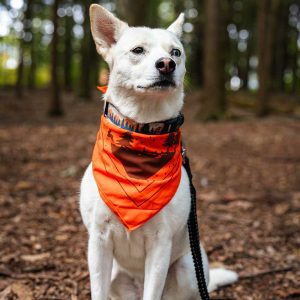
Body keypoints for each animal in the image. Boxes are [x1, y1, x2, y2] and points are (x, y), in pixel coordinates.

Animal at [80, 3, 239, 298]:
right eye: (137, 50)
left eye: (176, 52)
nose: (167, 64)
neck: (143, 130)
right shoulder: (98, 242)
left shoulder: (160, 245)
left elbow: (152, 291)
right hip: (117, 274)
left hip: (189, 267)